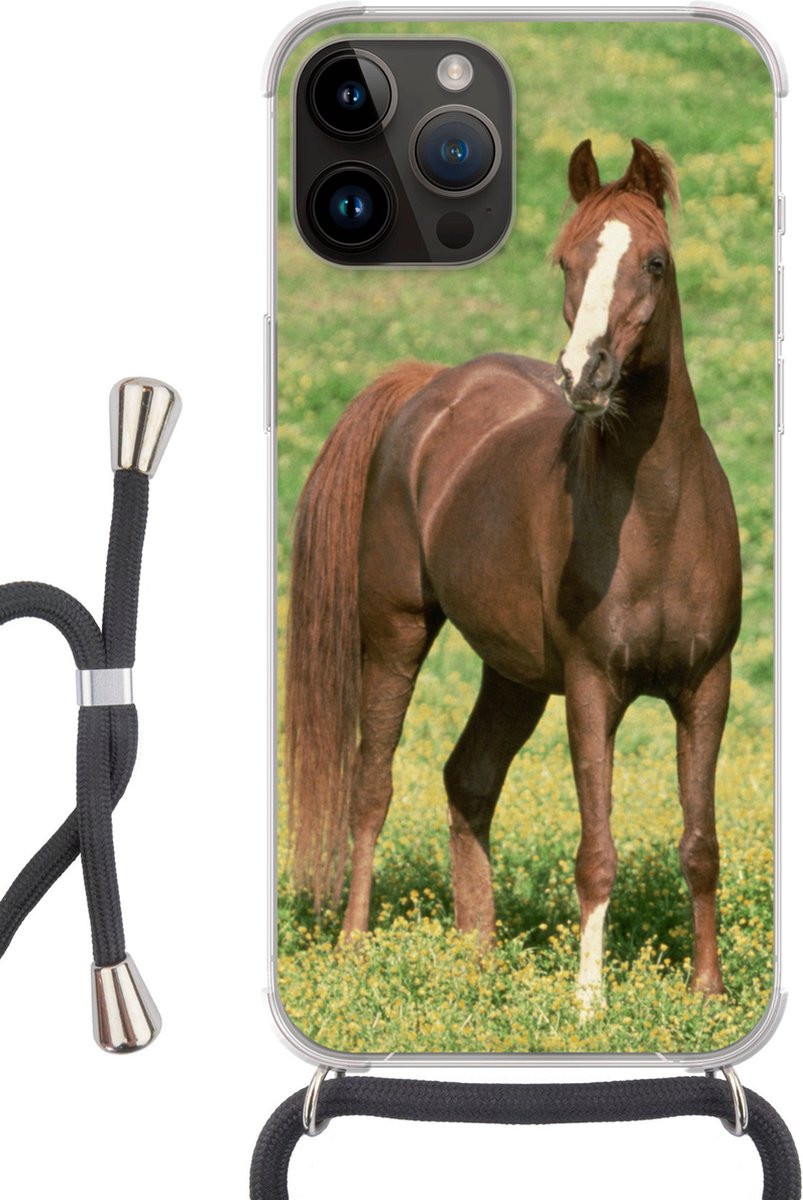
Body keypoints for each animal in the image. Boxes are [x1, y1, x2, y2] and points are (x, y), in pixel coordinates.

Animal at [285, 137, 741, 1009]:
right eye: (565, 260)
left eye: (656, 262)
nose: (583, 376)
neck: (658, 520)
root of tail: (429, 387)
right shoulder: (593, 688)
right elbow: (596, 850)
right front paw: (589, 1002)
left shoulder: (706, 685)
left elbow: (699, 841)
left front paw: (706, 992)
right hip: (394, 632)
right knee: (372, 786)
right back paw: (355, 947)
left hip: (515, 674)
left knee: (468, 779)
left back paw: (478, 958)